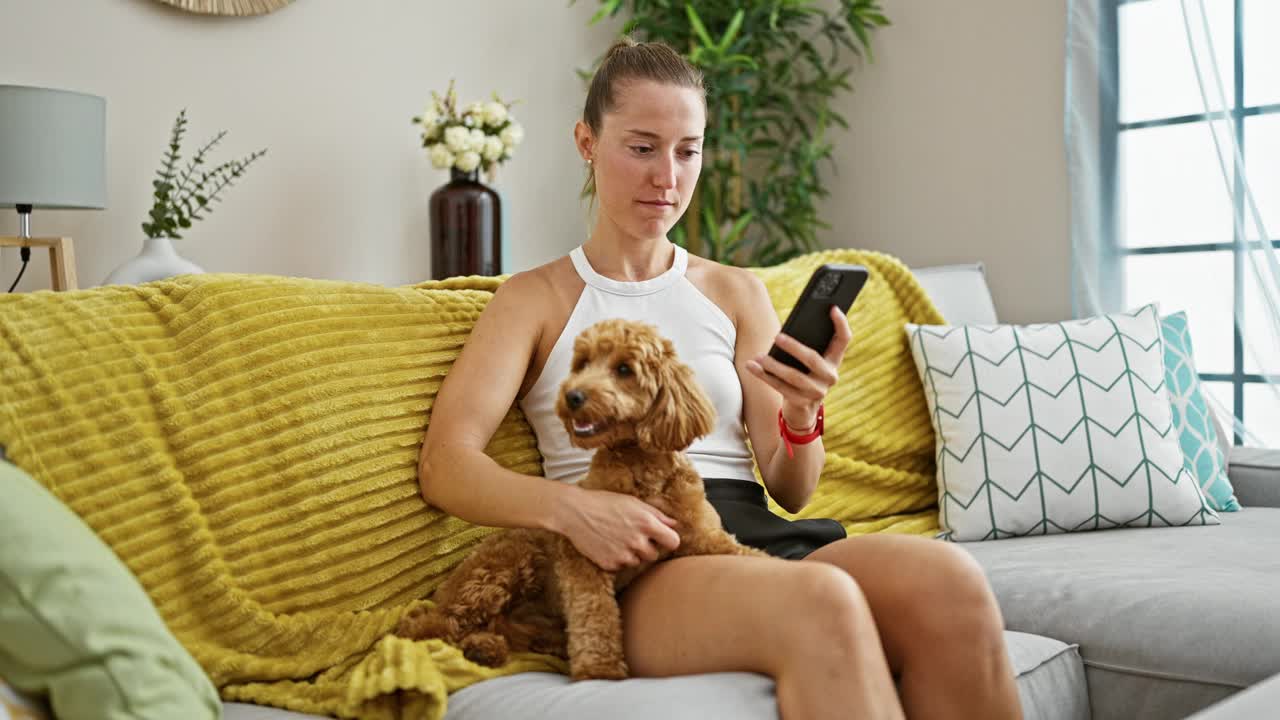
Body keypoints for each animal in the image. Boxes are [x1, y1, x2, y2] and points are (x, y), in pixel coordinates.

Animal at [394, 319, 762, 676]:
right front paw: (599, 669)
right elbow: (594, 612)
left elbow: (742, 552)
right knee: (438, 622)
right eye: (583, 364)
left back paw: (487, 647)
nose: (573, 396)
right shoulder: (585, 553)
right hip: (508, 561)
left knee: (496, 628)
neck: (640, 467)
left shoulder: (700, 534)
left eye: (624, 369)